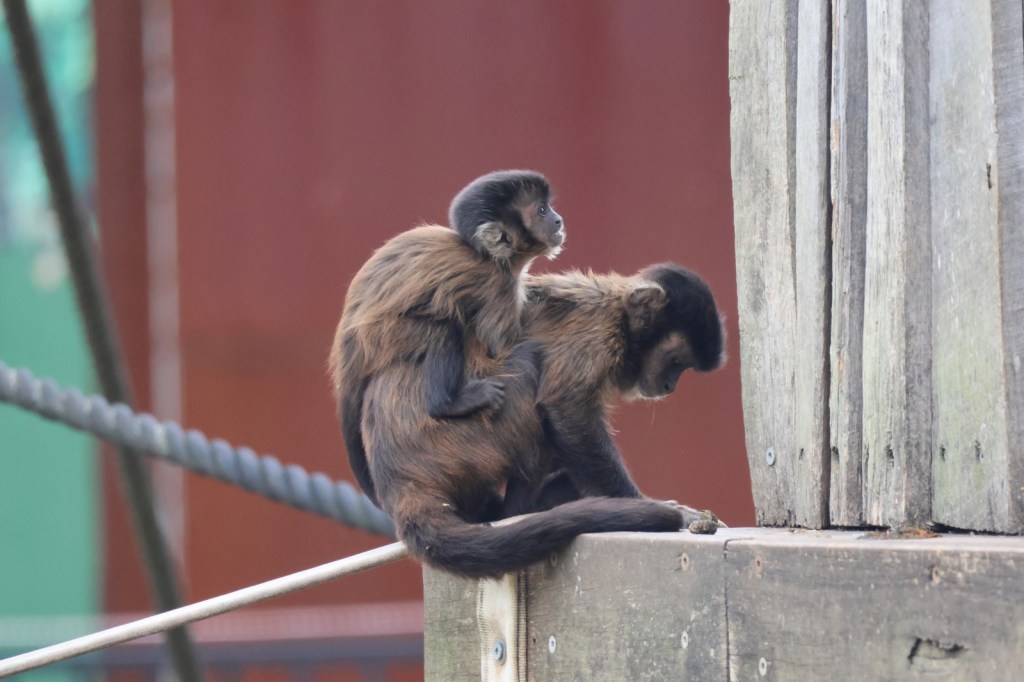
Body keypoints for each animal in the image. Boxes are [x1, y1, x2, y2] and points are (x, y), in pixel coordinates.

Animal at [329, 170, 564, 506]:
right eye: (542, 211)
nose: (558, 220)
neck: (488, 258)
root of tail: (346, 343)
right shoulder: (498, 287)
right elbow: (496, 348)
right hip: (383, 336)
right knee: (443, 331)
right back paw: (448, 404)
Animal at [358, 262, 725, 578]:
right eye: (675, 362)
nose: (669, 385)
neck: (618, 314)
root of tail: (397, 479)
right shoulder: (597, 333)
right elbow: (566, 408)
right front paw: (647, 504)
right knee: (529, 362)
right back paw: (521, 510)